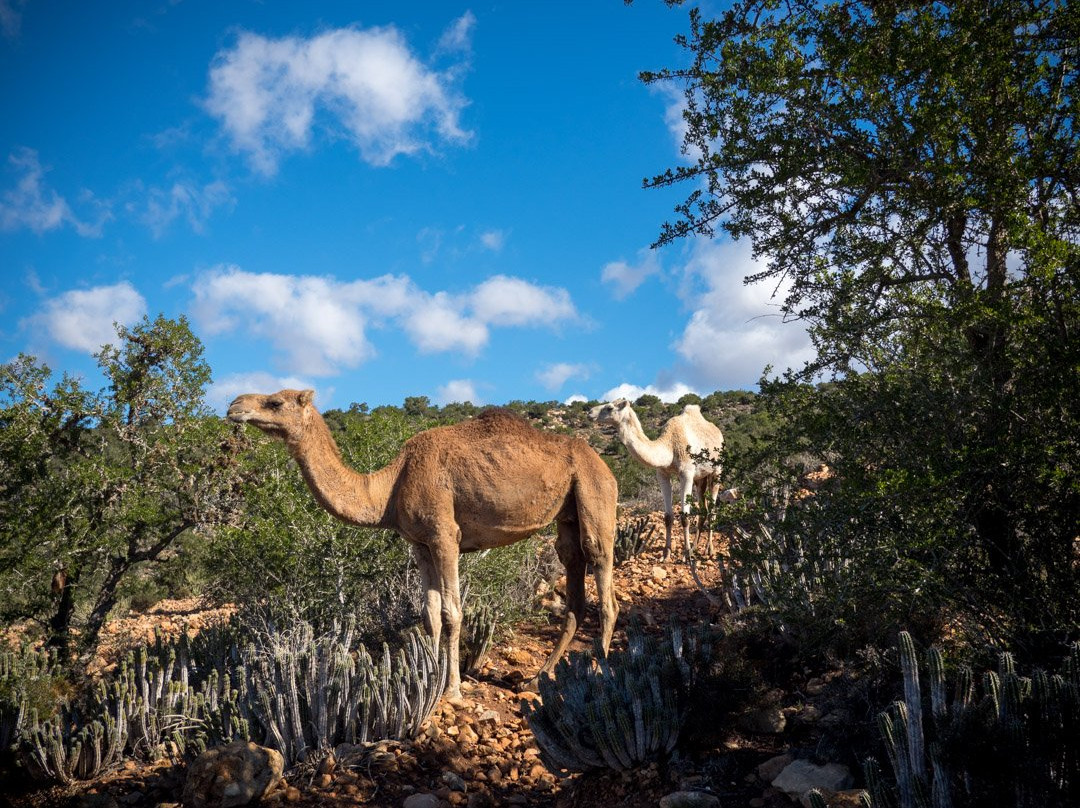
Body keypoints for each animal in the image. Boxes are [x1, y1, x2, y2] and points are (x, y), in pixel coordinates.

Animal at [223, 388, 622, 695]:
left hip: (595, 491)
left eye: (276, 402)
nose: (234, 405)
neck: (390, 487)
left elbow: (452, 611)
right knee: (573, 575)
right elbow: (428, 614)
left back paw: (600, 672)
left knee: (603, 577)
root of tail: (603, 463)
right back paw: (538, 678)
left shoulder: (445, 535)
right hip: (567, 514)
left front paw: (453, 689)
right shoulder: (419, 543)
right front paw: (428, 679)